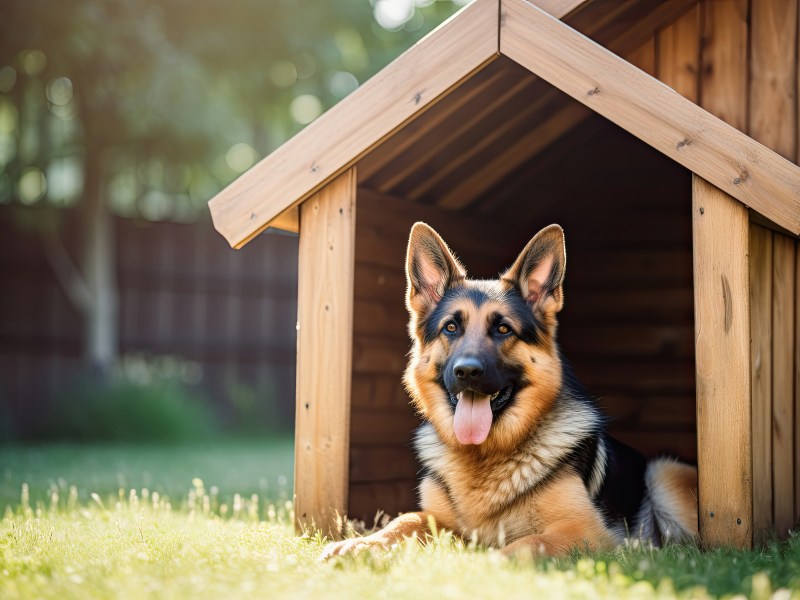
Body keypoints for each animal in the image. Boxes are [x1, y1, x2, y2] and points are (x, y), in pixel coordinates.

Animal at [322, 223, 696, 560]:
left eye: (503, 330)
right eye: (451, 328)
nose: (466, 372)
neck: (484, 456)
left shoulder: (583, 531)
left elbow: (525, 545)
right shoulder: (437, 519)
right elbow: (403, 520)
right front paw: (359, 543)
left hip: (663, 472)